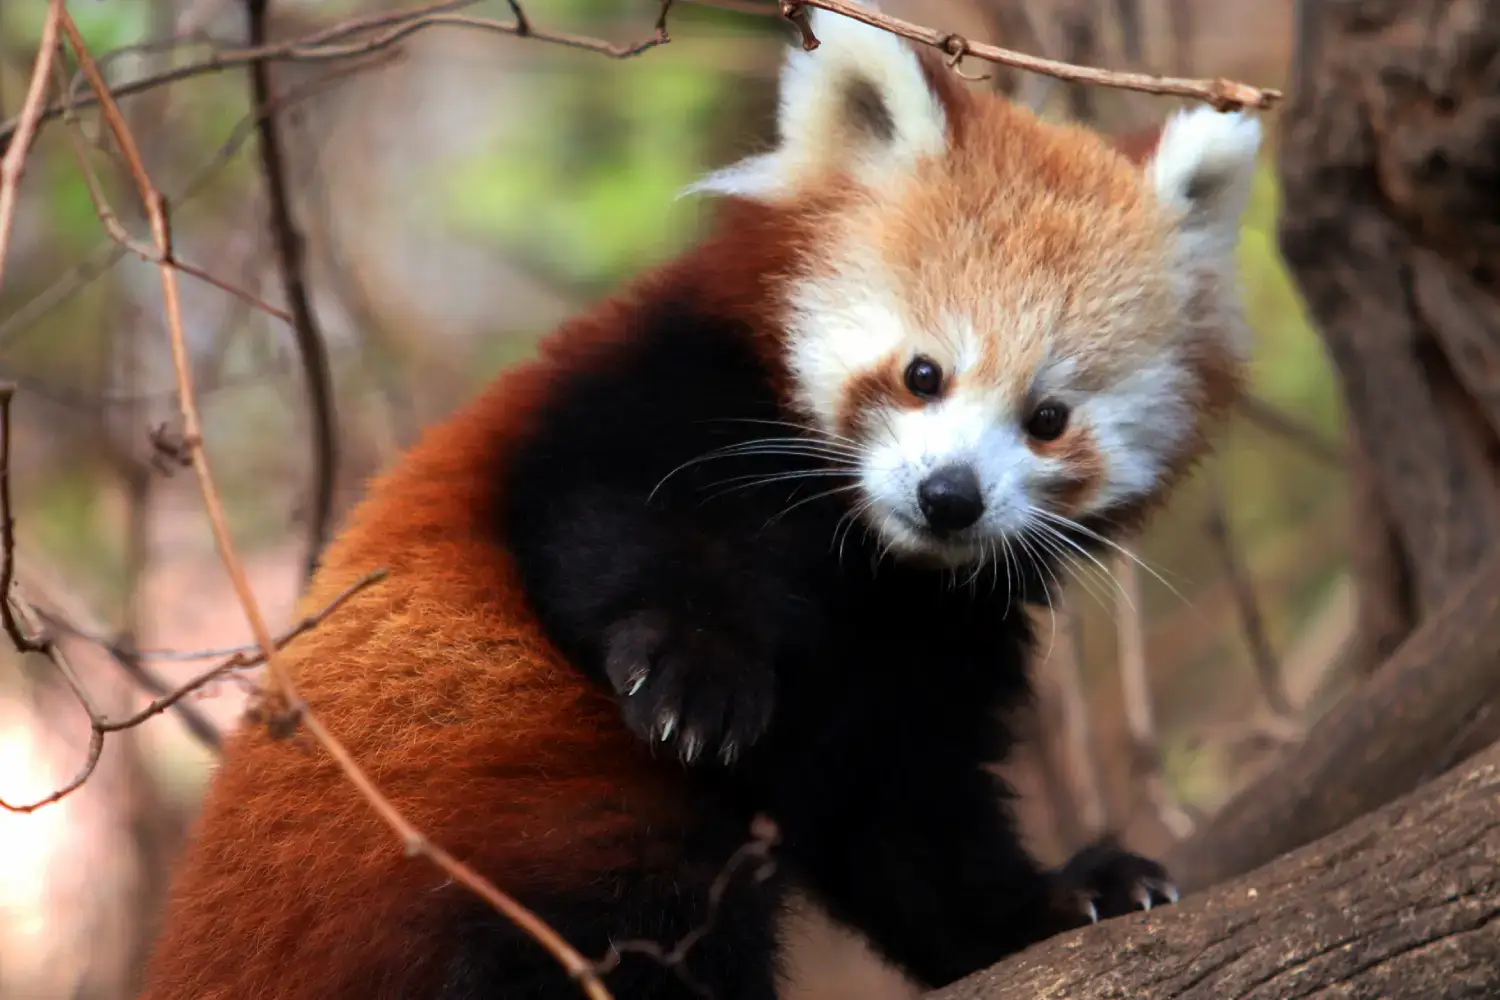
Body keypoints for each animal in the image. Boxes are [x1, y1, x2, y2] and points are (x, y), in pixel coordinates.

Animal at [138, 7, 1254, 1000]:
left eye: (1049, 418)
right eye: (923, 374)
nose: (950, 498)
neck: (863, 565)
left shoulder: (921, 646)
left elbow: (907, 817)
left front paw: (1061, 899)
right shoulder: (642, 400)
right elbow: (617, 529)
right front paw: (697, 677)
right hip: (505, 805)